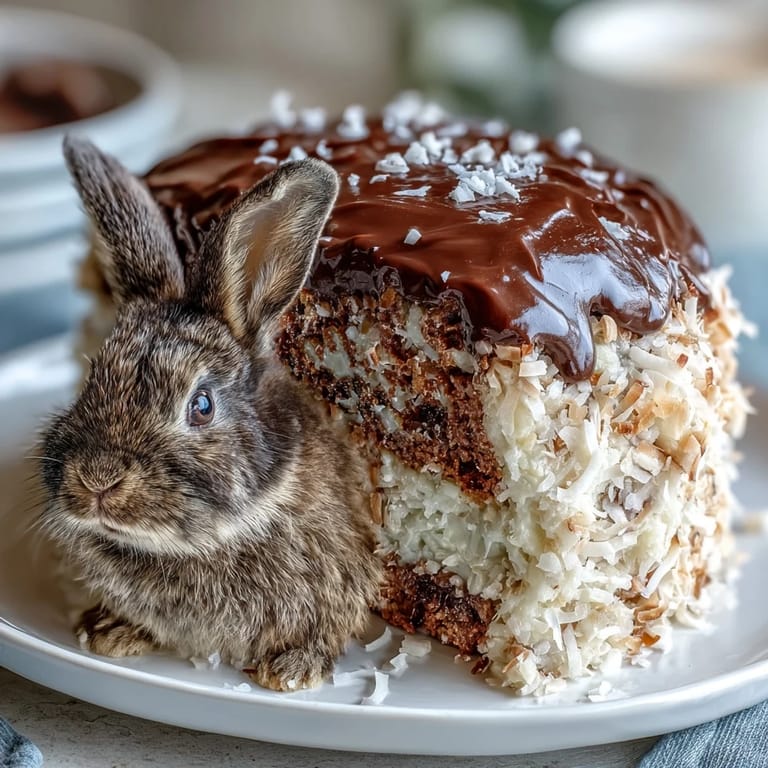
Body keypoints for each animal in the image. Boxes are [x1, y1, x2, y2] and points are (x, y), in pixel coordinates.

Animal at [38, 137, 381, 692]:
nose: (97, 479)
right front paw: (109, 632)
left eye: (201, 406)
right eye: (92, 379)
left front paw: (292, 671)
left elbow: (327, 628)